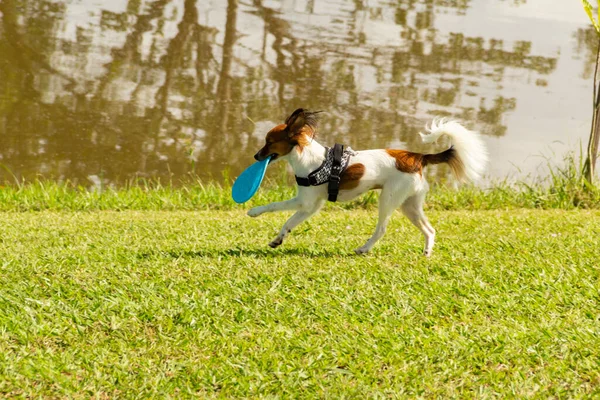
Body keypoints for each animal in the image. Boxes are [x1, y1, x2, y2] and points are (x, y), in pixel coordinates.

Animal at [248, 108, 488, 255]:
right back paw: (427, 252)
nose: (256, 156)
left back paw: (363, 249)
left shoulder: (304, 202)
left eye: (269, 142)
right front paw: (278, 240)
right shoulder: (311, 207)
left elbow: (275, 206)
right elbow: (289, 223)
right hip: (410, 204)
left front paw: (253, 212)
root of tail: (417, 157)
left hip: (388, 199)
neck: (308, 157)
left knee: (382, 229)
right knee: (430, 230)